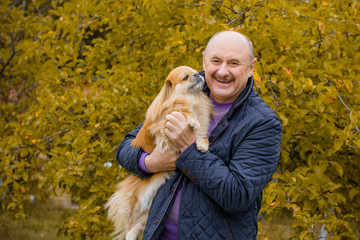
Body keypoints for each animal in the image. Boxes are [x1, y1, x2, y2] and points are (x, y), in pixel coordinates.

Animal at [105, 66, 214, 240]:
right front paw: (192, 119)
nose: (198, 75)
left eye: (196, 72)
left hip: (145, 213)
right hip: (136, 203)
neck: (192, 99)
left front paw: (202, 144)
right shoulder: (165, 124)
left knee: (135, 227)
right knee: (129, 226)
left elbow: (202, 135)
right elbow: (184, 113)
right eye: (185, 77)